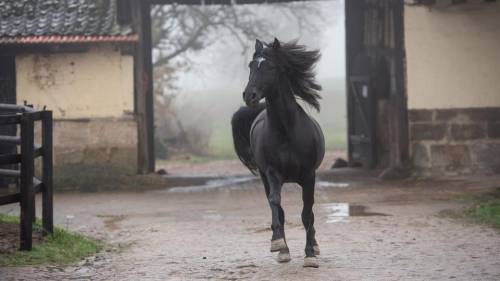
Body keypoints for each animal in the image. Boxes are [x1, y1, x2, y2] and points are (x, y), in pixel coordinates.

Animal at [231, 38, 324, 266]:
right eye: (251, 65)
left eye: (270, 67)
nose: (250, 95)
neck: (286, 130)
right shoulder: (273, 173)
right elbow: (275, 203)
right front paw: (278, 244)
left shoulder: (309, 175)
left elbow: (307, 212)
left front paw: (310, 254)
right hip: (265, 177)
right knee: (277, 206)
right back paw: (283, 249)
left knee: (309, 212)